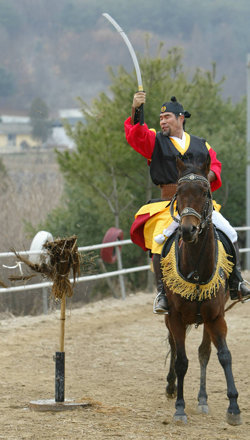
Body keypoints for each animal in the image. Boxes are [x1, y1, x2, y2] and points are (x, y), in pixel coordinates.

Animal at [161, 156, 241, 426]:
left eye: (205, 192)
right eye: (179, 192)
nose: (188, 230)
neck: (196, 269)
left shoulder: (216, 317)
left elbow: (222, 355)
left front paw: (234, 407)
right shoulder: (175, 317)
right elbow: (181, 361)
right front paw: (179, 408)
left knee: (204, 352)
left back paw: (203, 399)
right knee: (175, 349)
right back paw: (171, 387)